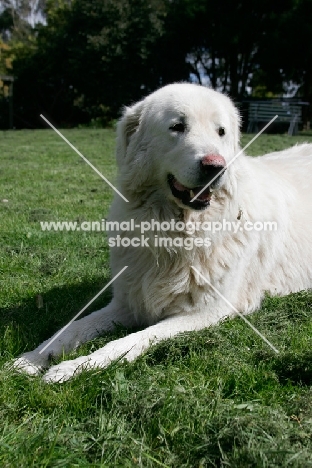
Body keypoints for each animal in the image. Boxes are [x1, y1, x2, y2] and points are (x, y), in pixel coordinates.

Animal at [13, 83, 312, 380]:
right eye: (177, 126)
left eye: (221, 132)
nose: (215, 166)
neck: (174, 232)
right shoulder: (127, 303)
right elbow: (72, 328)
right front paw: (32, 359)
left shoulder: (207, 311)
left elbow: (131, 340)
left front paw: (76, 367)